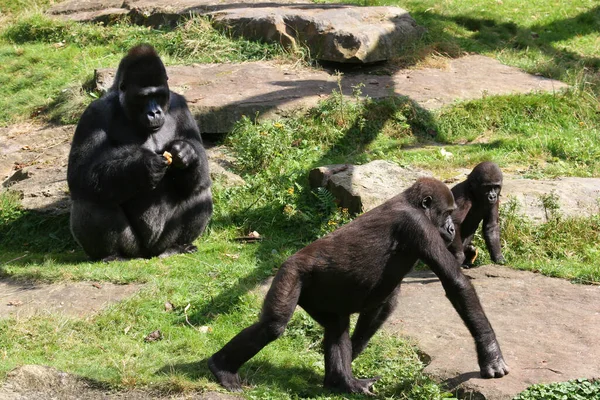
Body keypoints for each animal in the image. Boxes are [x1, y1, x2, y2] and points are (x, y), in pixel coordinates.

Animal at [67, 44, 213, 262]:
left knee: (199, 189)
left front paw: (187, 154)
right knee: (90, 197)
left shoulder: (181, 105)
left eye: (158, 95)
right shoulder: (95, 113)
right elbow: (80, 173)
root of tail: (147, 254)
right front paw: (143, 167)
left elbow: (201, 165)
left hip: (161, 243)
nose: (154, 112)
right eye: (143, 97)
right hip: (133, 247)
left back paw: (178, 246)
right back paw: (111, 255)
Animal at [209, 177, 508, 394]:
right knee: (273, 325)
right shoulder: (417, 225)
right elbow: (455, 283)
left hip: (315, 296)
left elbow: (382, 306)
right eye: (446, 213)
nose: (450, 229)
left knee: (336, 326)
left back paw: (341, 382)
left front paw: (351, 354)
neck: (413, 204)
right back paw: (222, 369)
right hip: (292, 273)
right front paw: (491, 353)